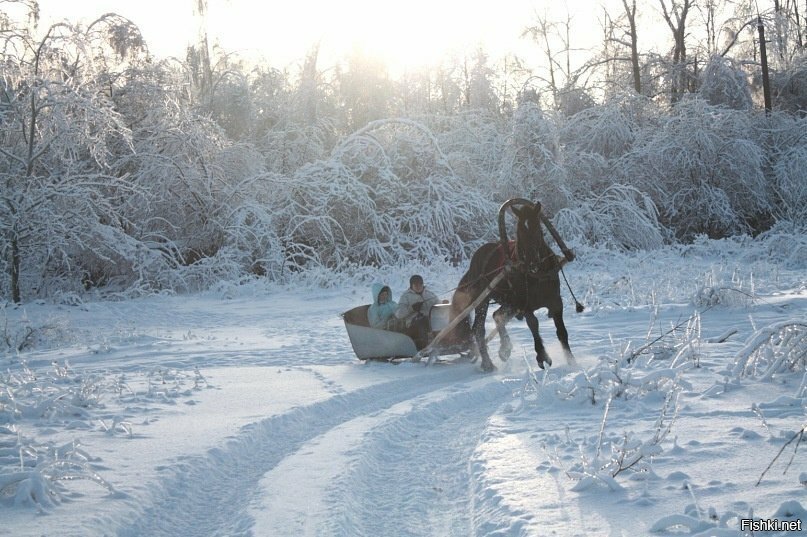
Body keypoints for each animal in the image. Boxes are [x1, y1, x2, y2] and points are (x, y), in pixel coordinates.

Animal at [452, 198, 576, 372]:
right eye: (520, 233)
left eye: (539, 231)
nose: (532, 263)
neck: (537, 275)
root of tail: (475, 261)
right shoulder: (525, 305)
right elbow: (534, 325)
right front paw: (542, 356)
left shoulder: (556, 302)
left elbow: (562, 332)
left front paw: (572, 362)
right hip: (483, 300)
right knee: (479, 328)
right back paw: (488, 363)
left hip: (509, 301)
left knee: (497, 316)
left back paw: (504, 349)